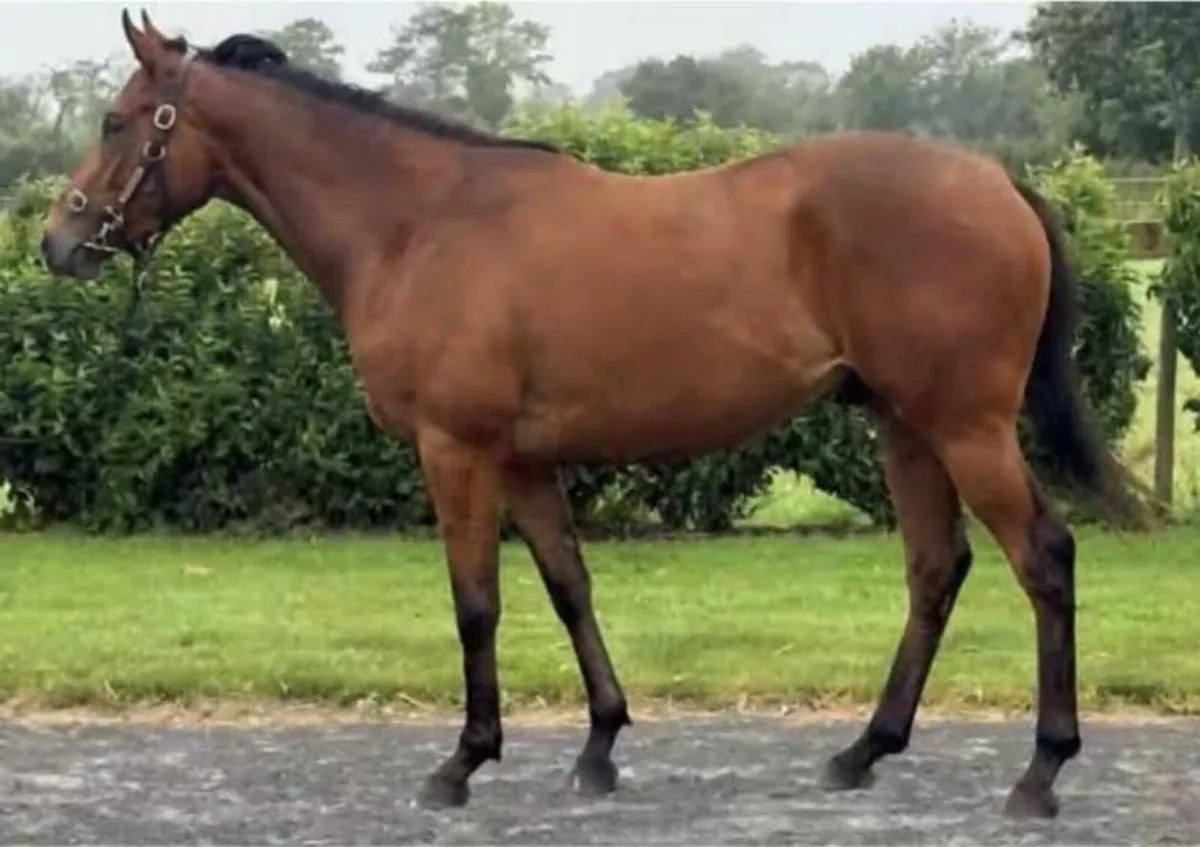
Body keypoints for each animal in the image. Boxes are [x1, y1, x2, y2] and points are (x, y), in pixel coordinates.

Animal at [41, 10, 1151, 820]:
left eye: (116, 119)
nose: (58, 241)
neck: (417, 225)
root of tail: (997, 181)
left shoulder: (456, 452)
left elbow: (476, 602)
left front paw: (462, 762)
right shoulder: (525, 460)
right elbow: (568, 586)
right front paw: (600, 746)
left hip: (965, 425)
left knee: (1042, 558)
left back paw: (1041, 772)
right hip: (903, 425)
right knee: (936, 567)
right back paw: (863, 750)